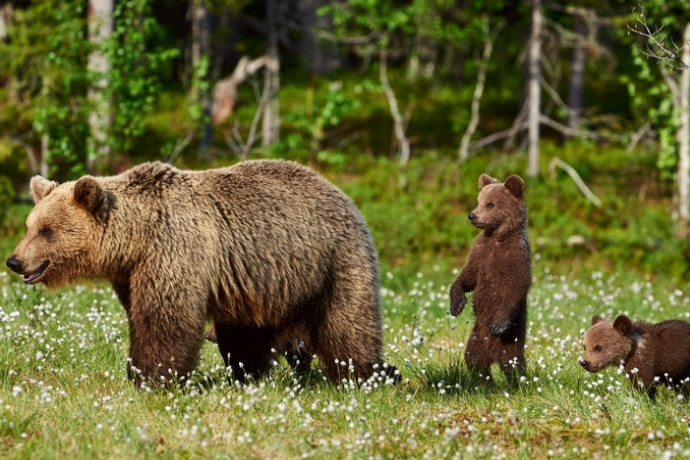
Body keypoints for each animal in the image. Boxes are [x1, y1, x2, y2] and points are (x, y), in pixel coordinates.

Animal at [6, 160, 396, 386]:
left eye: (47, 230)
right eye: (29, 226)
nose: (15, 261)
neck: (136, 239)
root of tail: (341, 193)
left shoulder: (175, 249)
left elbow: (165, 318)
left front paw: (152, 378)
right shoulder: (132, 273)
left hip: (335, 259)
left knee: (347, 323)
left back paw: (368, 374)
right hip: (261, 280)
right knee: (246, 333)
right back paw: (249, 374)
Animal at [448, 174, 531, 379]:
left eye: (491, 204)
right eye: (478, 201)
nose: (472, 215)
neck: (497, 237)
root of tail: (493, 355)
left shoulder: (515, 256)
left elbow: (517, 285)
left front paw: (499, 323)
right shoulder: (480, 253)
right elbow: (467, 277)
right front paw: (457, 304)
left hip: (511, 340)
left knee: (513, 364)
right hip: (476, 337)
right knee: (474, 360)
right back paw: (485, 380)